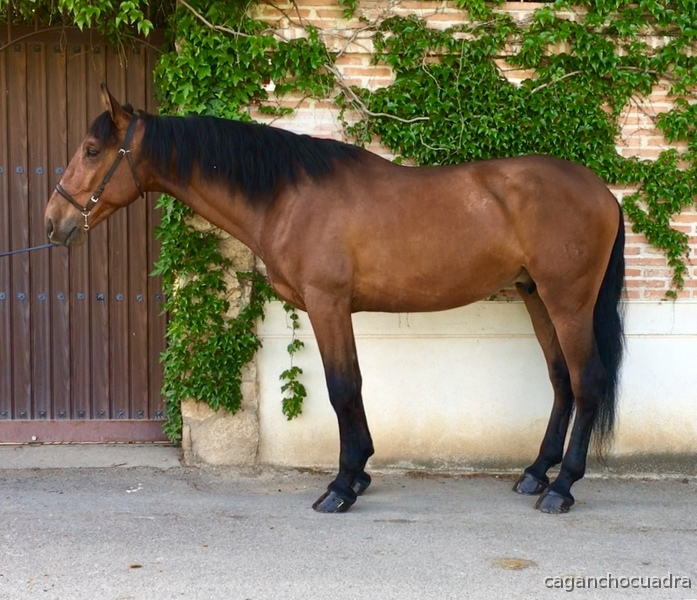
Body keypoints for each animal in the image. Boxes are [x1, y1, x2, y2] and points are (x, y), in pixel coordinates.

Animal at [45, 84, 625, 514]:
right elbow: (352, 388)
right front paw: (359, 474)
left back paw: (561, 488)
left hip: (568, 301)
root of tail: (603, 192)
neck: (287, 196)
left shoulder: (328, 305)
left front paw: (343, 485)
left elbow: (343, 387)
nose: (54, 222)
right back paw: (535, 474)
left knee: (587, 380)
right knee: (561, 381)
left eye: (92, 151)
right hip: (537, 297)